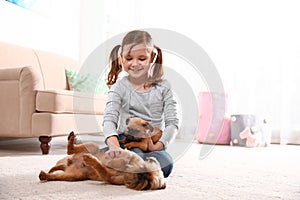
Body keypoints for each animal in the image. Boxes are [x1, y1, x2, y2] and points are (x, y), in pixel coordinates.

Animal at [38, 131, 166, 191]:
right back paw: (72, 138)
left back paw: (44, 175)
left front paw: (92, 161)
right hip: (92, 146)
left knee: (56, 176)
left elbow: (101, 167)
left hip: (73, 176)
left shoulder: (109, 177)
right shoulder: (125, 155)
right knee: (71, 149)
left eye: (148, 184)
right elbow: (122, 156)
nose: (141, 175)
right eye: (145, 169)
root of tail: (68, 164)